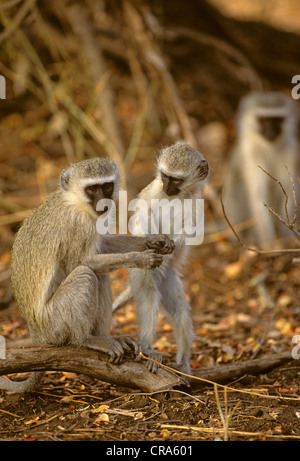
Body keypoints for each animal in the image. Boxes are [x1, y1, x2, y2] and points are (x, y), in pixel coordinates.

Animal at [0, 158, 173, 392]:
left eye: (106, 186)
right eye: (92, 189)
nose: (103, 203)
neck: (75, 201)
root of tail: (37, 334)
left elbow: (102, 247)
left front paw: (154, 241)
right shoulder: (78, 225)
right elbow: (81, 263)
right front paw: (140, 258)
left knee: (100, 276)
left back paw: (109, 337)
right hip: (54, 324)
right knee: (86, 274)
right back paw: (85, 340)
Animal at [113, 142, 210, 372]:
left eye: (176, 179)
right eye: (165, 176)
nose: (167, 186)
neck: (177, 196)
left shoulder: (197, 198)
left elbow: (191, 230)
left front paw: (171, 244)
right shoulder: (153, 189)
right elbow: (142, 214)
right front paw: (157, 241)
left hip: (168, 281)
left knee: (181, 312)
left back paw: (182, 363)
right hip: (141, 274)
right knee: (149, 296)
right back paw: (149, 349)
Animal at [223, 91, 298, 246]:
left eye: (277, 120)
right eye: (263, 120)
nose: (271, 130)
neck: (268, 147)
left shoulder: (292, 149)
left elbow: (289, 193)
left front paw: (288, 239)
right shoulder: (250, 153)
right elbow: (259, 198)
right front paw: (270, 245)